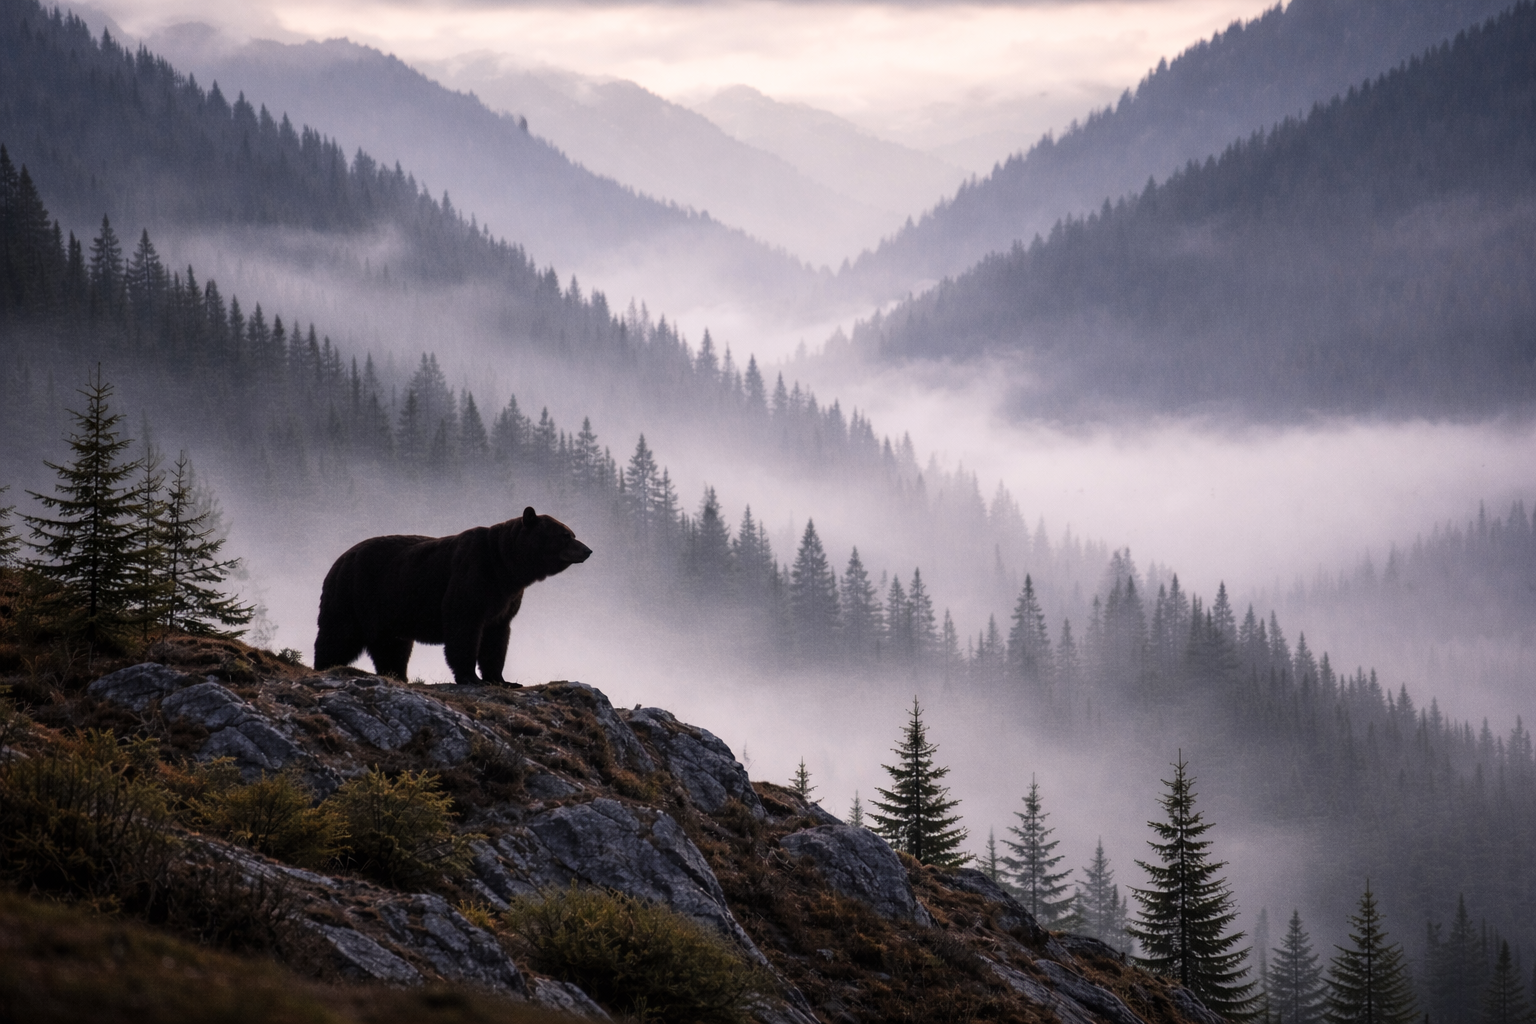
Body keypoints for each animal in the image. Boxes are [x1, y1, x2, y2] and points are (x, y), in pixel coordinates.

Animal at [313, 507, 591, 685]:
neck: (506, 566)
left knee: (393, 645)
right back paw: (324, 665)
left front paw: (502, 679)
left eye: (572, 533)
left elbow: (497, 636)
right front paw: (470, 677)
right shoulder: (473, 575)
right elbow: (463, 625)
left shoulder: (505, 598)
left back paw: (398, 676)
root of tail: (339, 560)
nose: (587, 550)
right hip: (354, 594)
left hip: (389, 610)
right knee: (338, 634)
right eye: (565, 535)